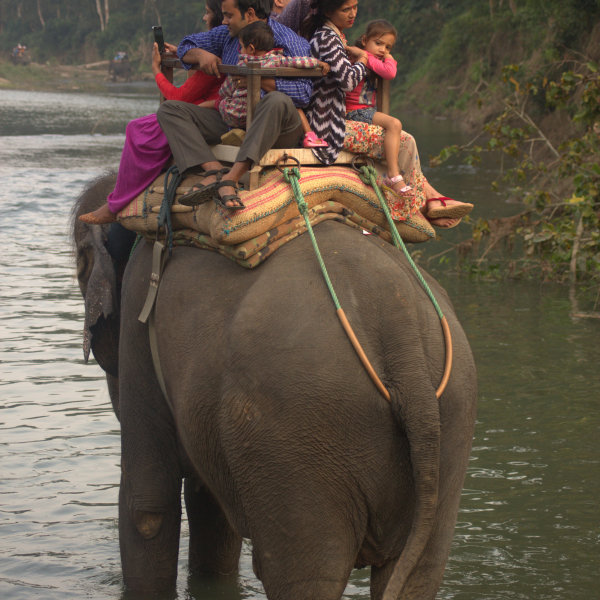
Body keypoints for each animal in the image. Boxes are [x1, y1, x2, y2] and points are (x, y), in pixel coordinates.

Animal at [70, 172, 476, 600]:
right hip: (452, 421)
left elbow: (147, 506)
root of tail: (403, 339)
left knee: (305, 576)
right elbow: (210, 509)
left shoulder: (138, 319)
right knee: (419, 572)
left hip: (296, 435)